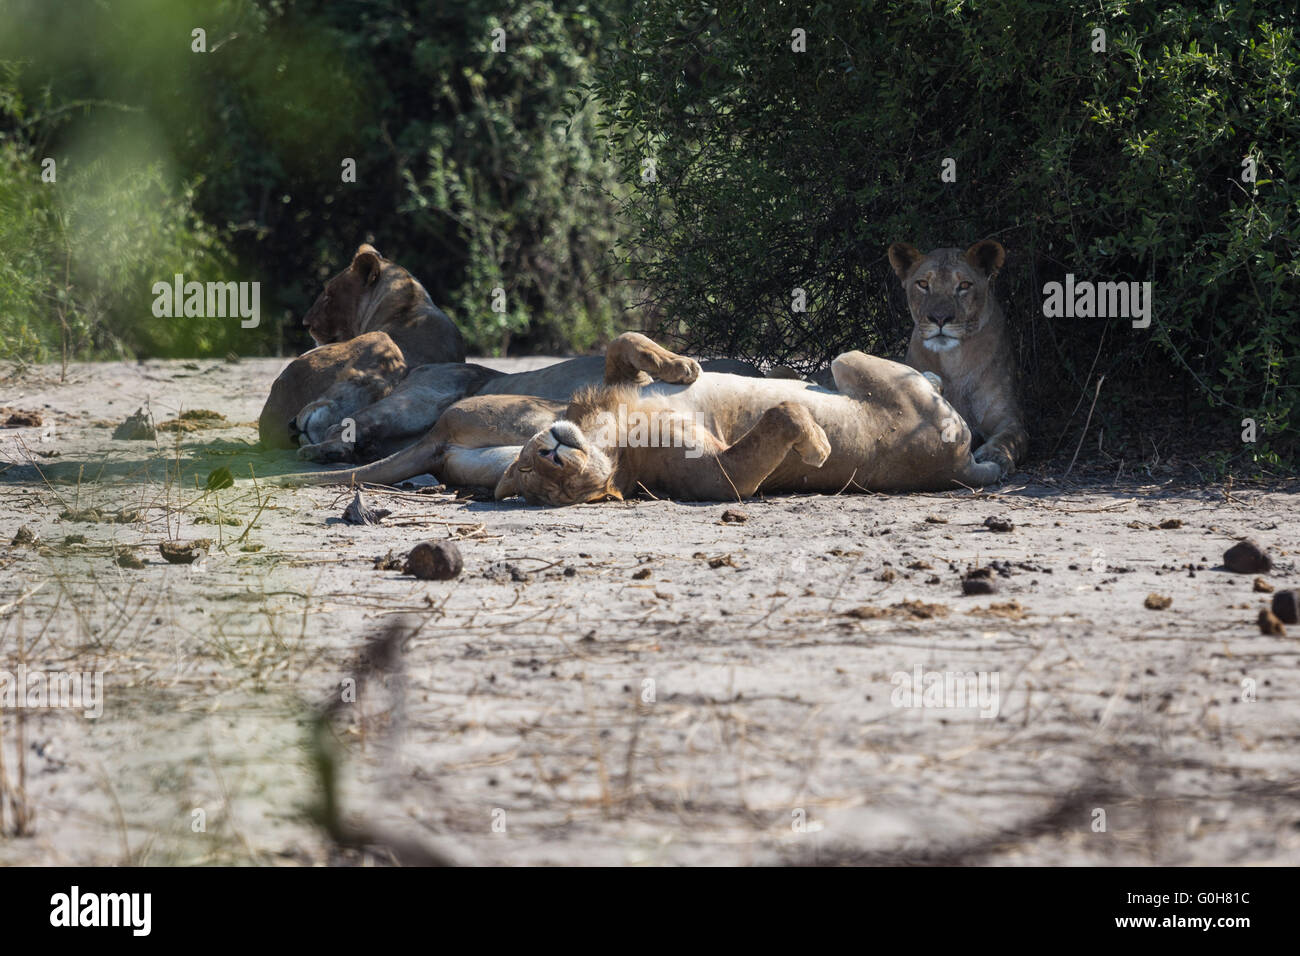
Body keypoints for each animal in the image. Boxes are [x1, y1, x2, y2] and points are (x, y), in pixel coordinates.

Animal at [887, 238, 1027, 478]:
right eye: (923, 284)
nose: (939, 318)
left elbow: (1009, 438)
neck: (953, 360)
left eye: (964, 285)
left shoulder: (1009, 417)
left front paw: (994, 455)